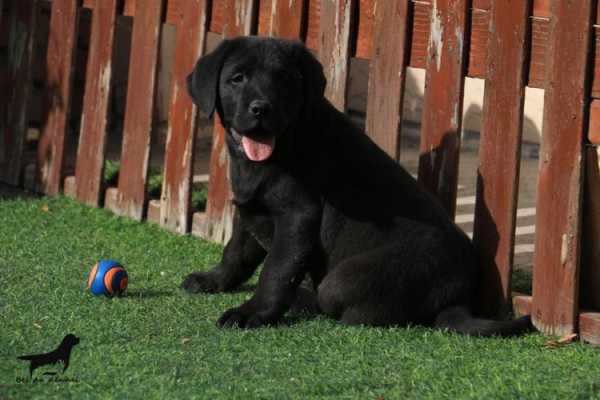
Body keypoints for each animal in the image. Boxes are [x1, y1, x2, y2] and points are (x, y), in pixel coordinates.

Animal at [182, 36, 528, 334]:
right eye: (237, 78)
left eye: (284, 79)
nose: (261, 108)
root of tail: (458, 299)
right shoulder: (252, 207)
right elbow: (236, 251)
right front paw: (213, 279)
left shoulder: (297, 216)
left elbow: (276, 270)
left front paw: (252, 312)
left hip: (347, 279)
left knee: (342, 303)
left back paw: (304, 300)